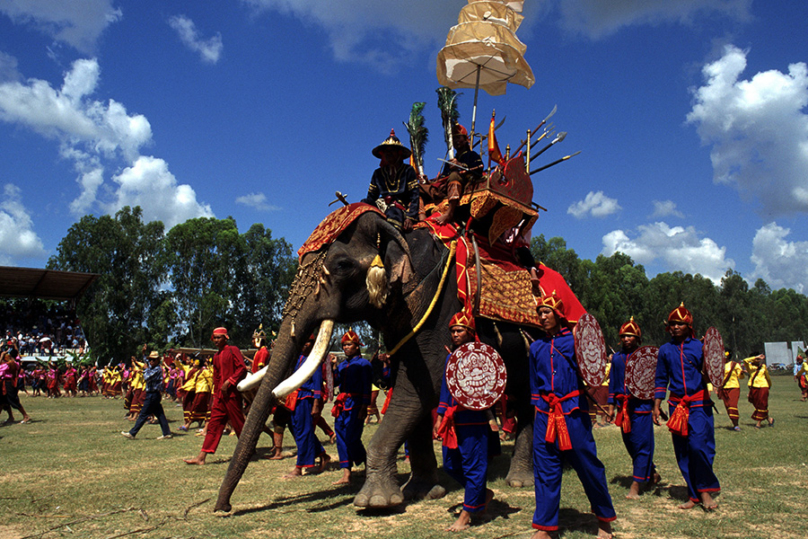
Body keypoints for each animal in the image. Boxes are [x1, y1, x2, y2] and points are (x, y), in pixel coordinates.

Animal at [211, 205, 560, 512]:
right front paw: (422, 491)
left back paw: (520, 480)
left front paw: (375, 503)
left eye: (342, 265)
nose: (224, 508)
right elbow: (416, 387)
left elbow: (429, 377)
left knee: (528, 397)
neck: (399, 229)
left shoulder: (439, 302)